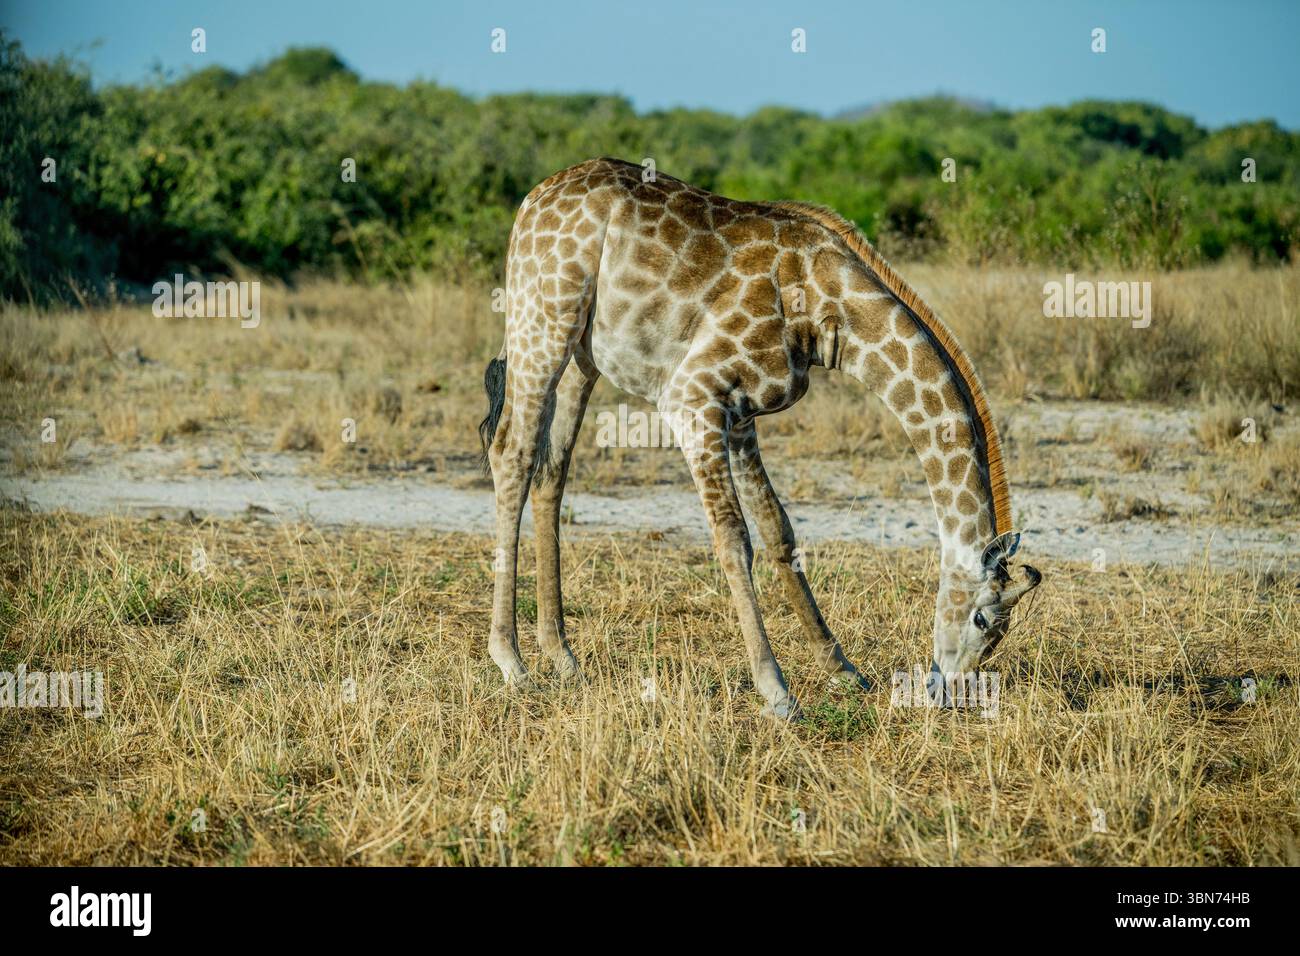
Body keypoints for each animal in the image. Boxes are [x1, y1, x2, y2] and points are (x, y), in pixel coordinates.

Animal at [479, 158, 1042, 718]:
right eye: (983, 620)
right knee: (512, 453)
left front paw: (842, 669)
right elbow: (733, 537)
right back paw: (511, 662)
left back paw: (561, 654)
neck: (829, 312)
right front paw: (777, 691)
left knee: (552, 468)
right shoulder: (692, 396)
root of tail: (532, 199)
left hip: (584, 355)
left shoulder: (742, 412)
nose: (947, 694)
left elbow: (778, 531)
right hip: (543, 323)